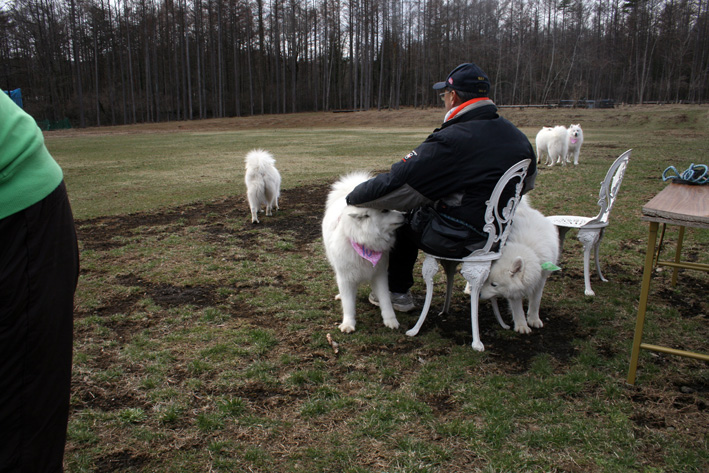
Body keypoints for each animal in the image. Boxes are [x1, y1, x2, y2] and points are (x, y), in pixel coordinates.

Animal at [320, 172, 404, 332]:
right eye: (385, 210)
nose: (406, 214)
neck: (364, 243)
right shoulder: (346, 278)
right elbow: (348, 304)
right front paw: (348, 323)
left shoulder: (379, 275)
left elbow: (385, 300)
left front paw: (390, 320)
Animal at [476, 195, 560, 336]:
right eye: (487, 281)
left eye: (494, 284)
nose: (479, 295)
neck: (527, 248)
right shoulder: (514, 292)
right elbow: (517, 309)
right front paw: (521, 325)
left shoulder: (540, 280)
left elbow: (535, 301)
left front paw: (533, 319)